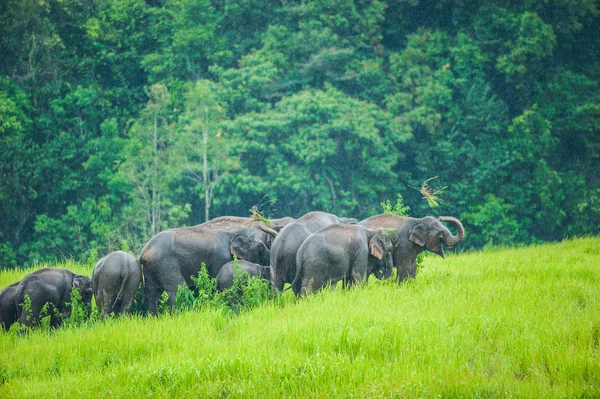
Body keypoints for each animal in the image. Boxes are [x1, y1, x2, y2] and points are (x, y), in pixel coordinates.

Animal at [139, 225, 274, 316]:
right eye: (261, 247)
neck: (232, 233)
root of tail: (144, 252)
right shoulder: (220, 258)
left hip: (152, 269)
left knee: (152, 293)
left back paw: (153, 318)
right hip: (166, 264)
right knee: (177, 289)